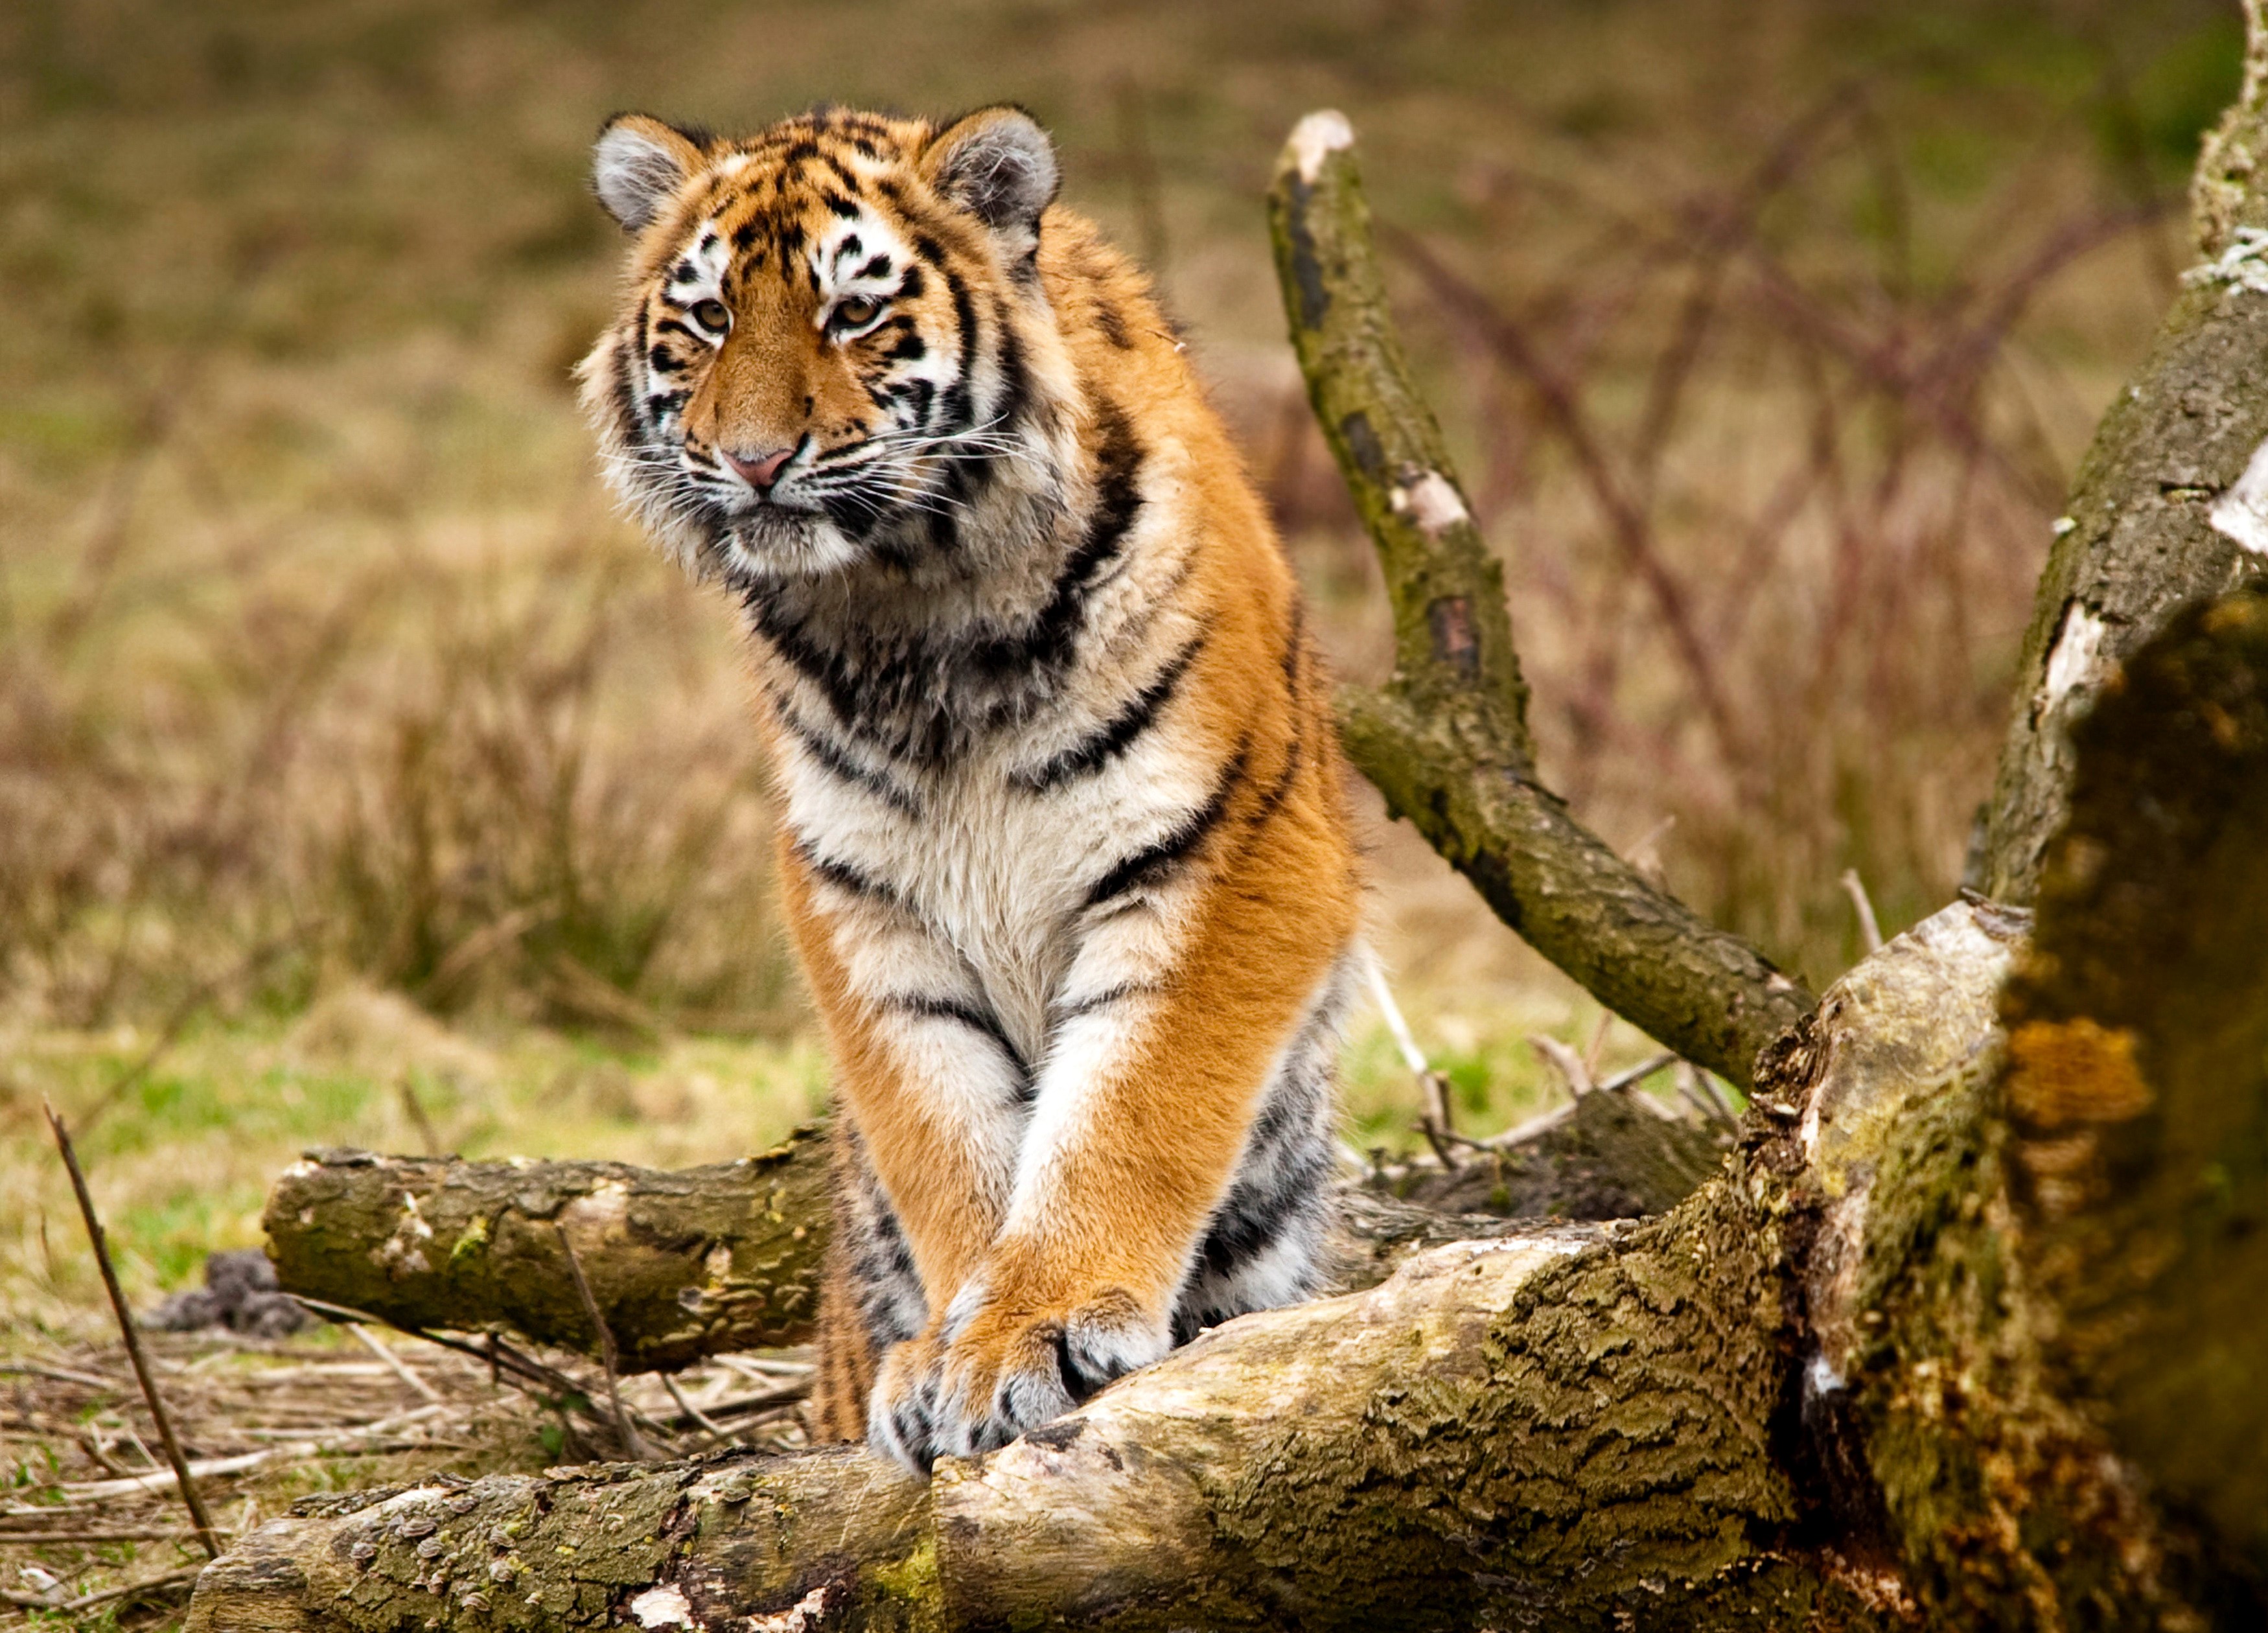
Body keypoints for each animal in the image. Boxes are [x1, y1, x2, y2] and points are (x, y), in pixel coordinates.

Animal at [578, 102, 1363, 1472]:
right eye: (711, 317)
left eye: (851, 313)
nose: (755, 461)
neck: (913, 611)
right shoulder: (860, 899)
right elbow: (945, 1136)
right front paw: (952, 1350)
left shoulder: (1228, 849)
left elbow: (1128, 1108)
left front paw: (1032, 1332)